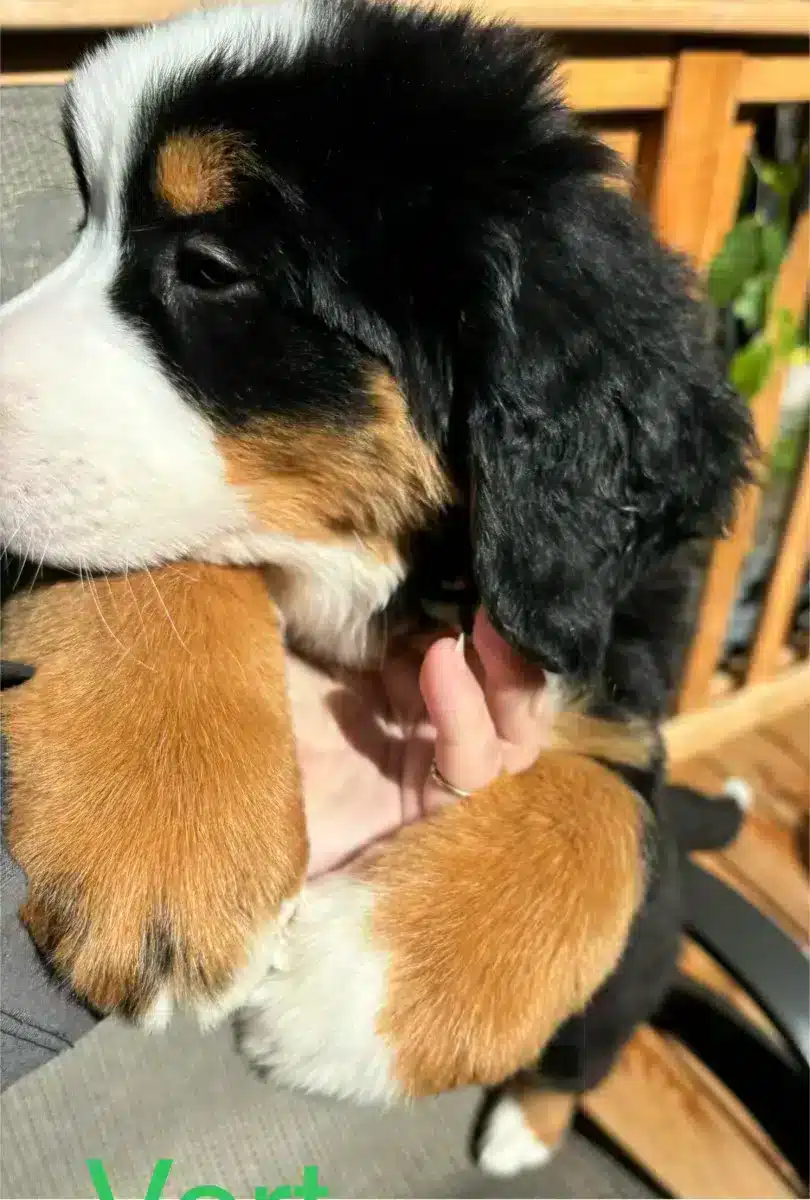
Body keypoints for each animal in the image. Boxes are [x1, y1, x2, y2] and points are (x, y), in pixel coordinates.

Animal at [3, 0, 758, 1104]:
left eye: (210, 269)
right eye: (83, 226)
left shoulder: (616, 676)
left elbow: (609, 818)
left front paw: (353, 990)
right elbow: (148, 556)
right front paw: (162, 834)